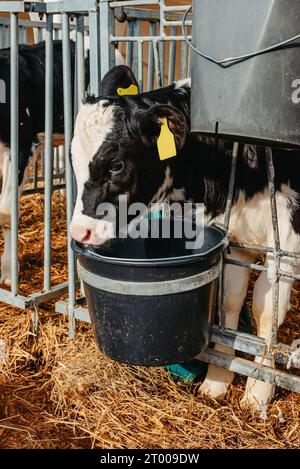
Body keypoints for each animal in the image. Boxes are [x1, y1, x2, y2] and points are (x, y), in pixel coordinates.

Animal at [69, 65, 300, 410]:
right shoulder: (234, 241)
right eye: (72, 159)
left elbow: (267, 312)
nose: (79, 231)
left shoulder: (286, 244)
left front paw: (259, 390)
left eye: (116, 165)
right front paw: (217, 379)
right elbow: (229, 302)